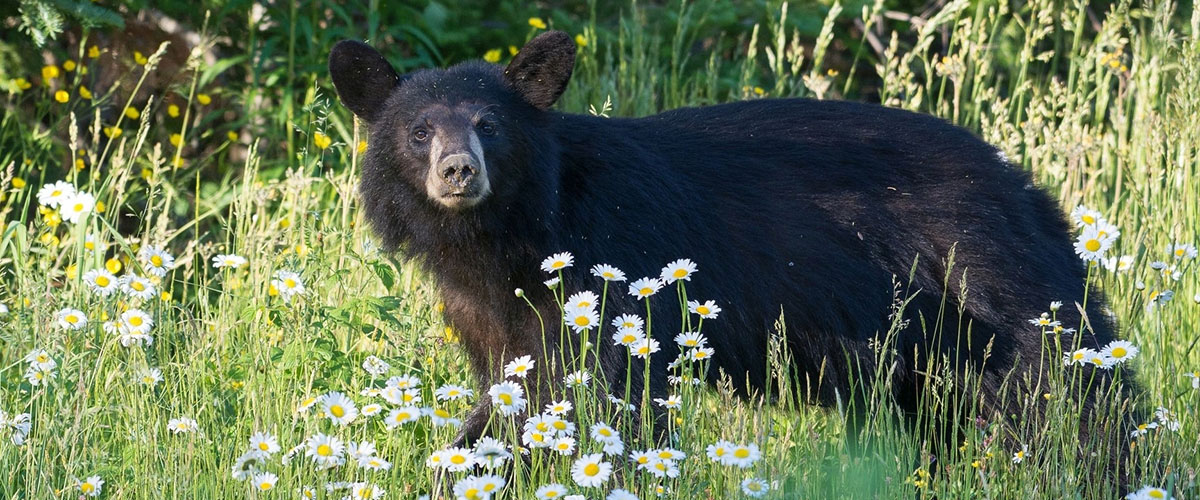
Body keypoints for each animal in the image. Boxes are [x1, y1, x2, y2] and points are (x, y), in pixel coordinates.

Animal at [328, 31, 1123, 450]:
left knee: (1056, 384)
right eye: (418, 130)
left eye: (489, 125)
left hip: (981, 278)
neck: (509, 236)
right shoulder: (487, 310)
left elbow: (602, 392)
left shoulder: (612, 268)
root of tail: (1022, 184)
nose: (459, 171)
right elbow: (514, 386)